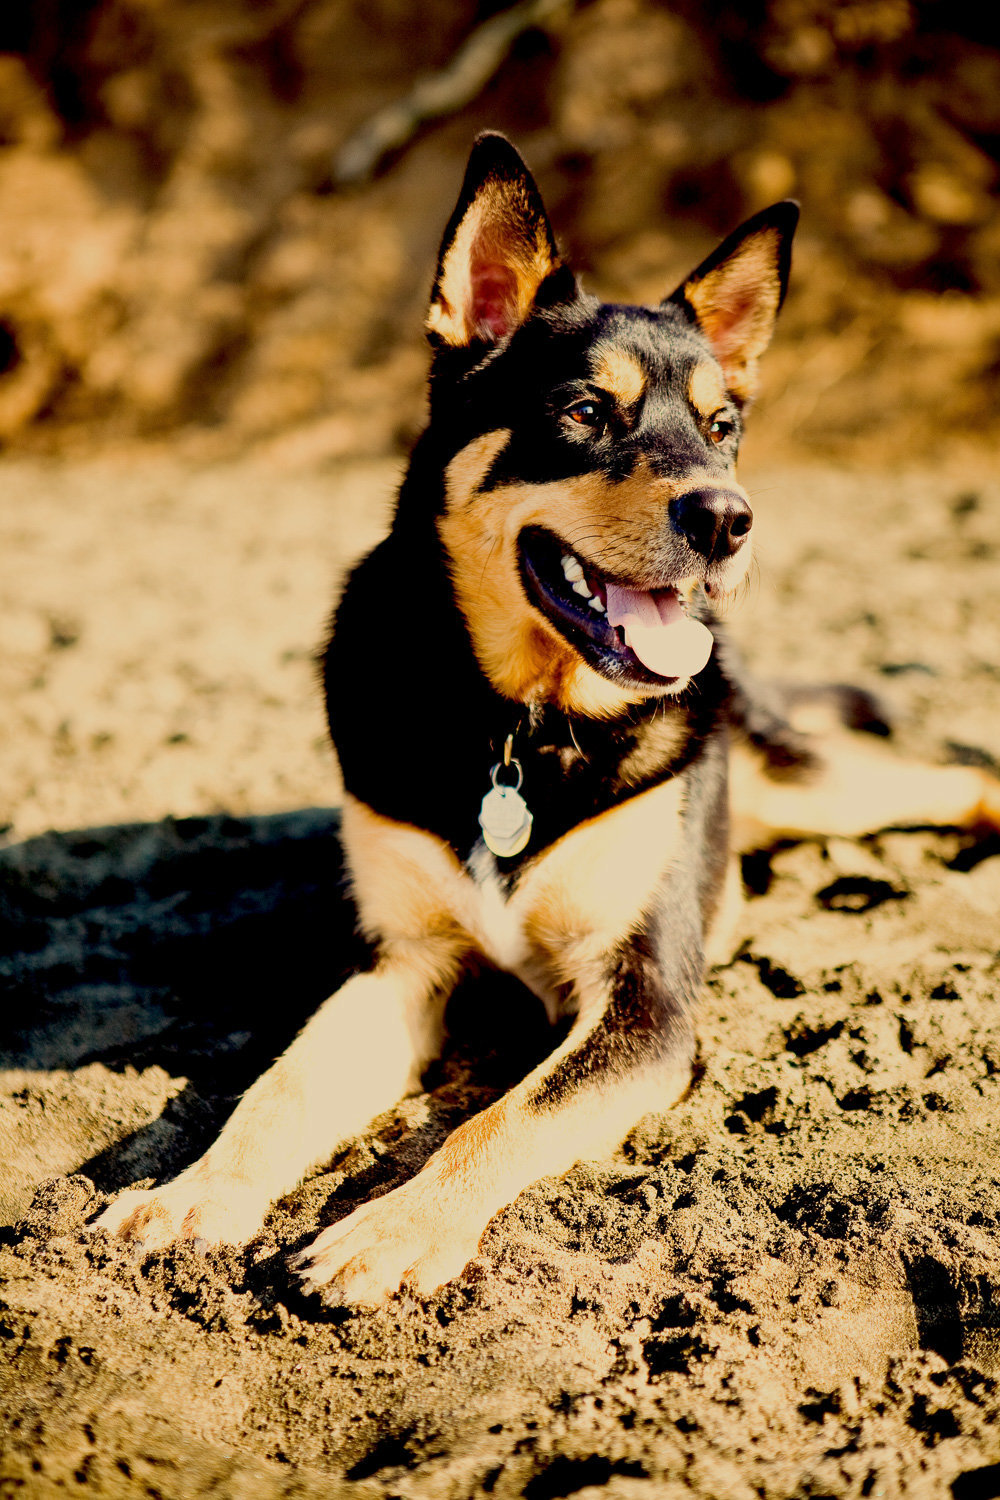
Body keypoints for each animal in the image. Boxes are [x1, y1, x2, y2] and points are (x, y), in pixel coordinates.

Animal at [93, 132, 1000, 1302]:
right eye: (583, 412)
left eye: (721, 427)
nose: (731, 520)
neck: (521, 725)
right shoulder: (399, 966)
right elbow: (280, 1086)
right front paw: (193, 1194)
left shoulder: (644, 1005)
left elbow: (501, 1118)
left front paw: (394, 1229)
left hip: (814, 781)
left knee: (960, 771)